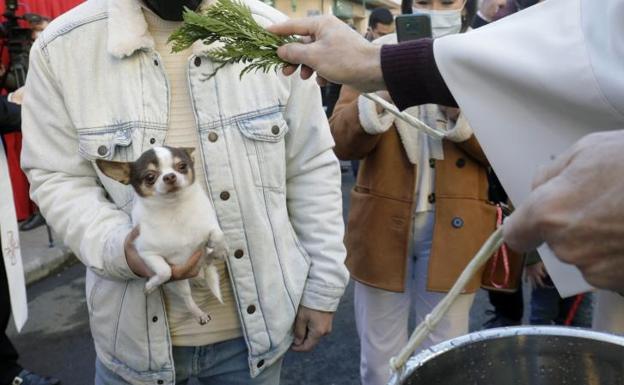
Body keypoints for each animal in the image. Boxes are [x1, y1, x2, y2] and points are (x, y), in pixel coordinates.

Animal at [95, 146, 227, 322]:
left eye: (182, 166)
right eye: (150, 177)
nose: (170, 176)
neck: (174, 210)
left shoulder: (208, 229)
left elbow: (218, 236)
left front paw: (219, 252)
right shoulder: (147, 254)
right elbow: (165, 271)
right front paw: (151, 285)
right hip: (179, 282)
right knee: (186, 297)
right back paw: (198, 312)